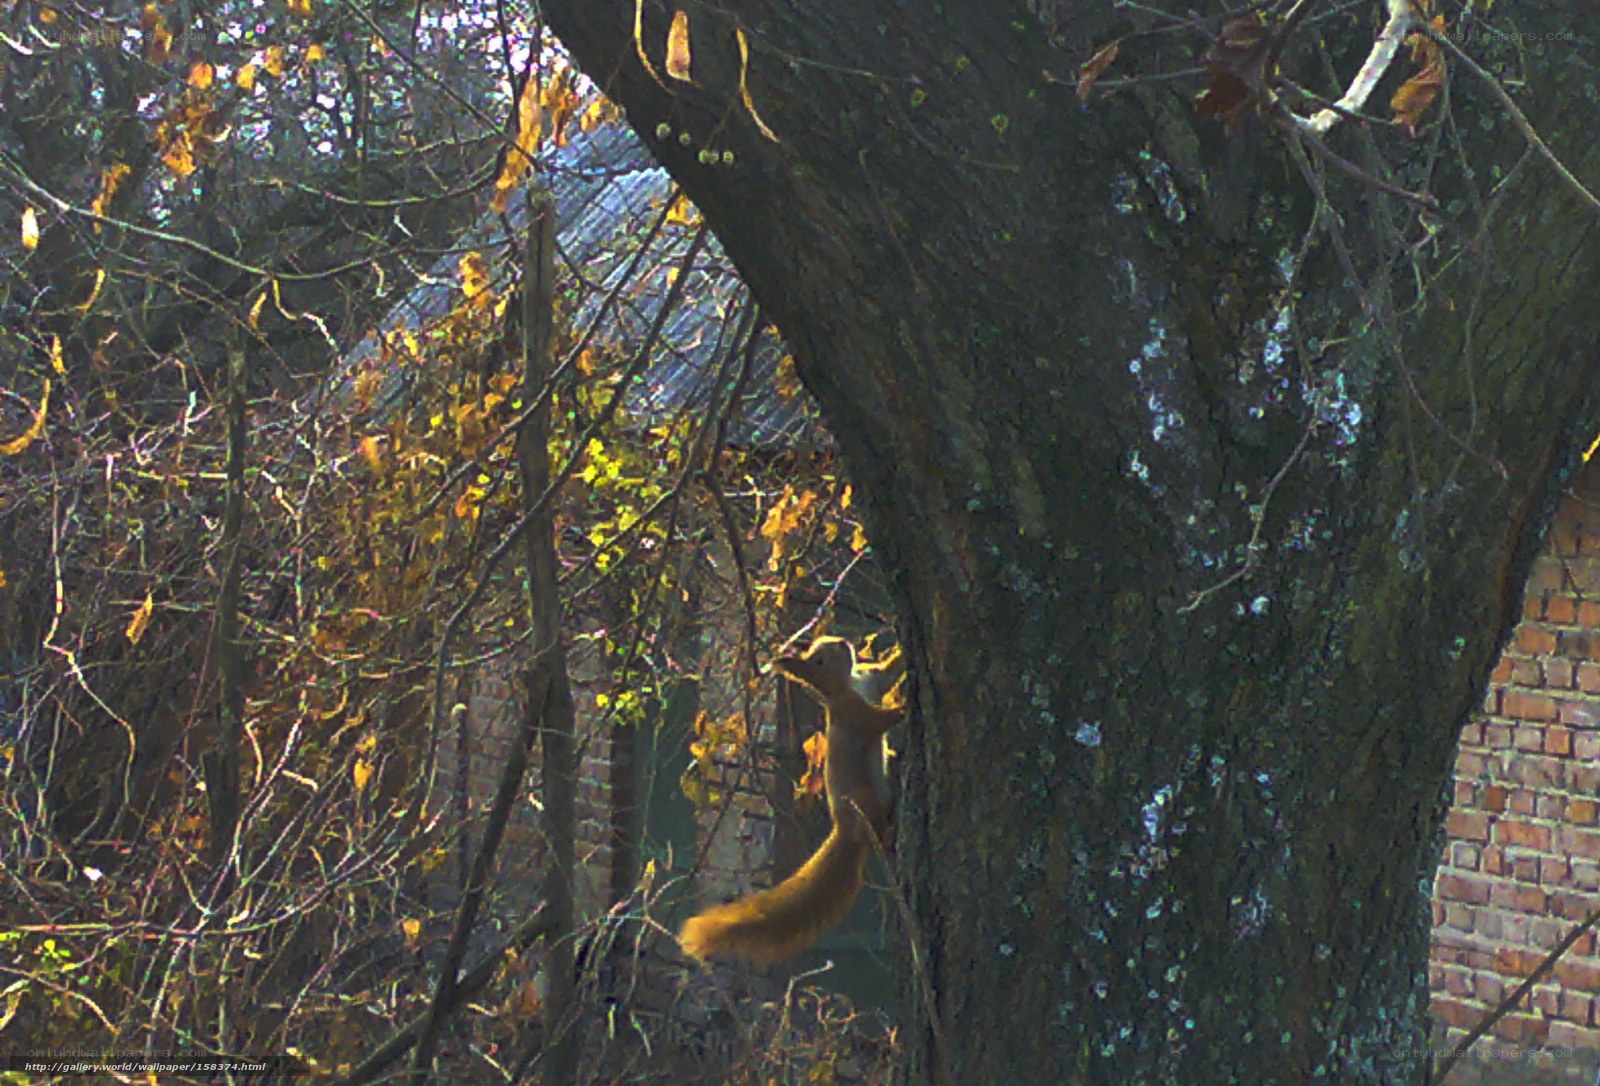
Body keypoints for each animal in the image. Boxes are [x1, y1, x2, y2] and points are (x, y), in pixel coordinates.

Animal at [678, 636, 904, 964]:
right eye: (820, 657)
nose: (844, 642)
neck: (847, 683)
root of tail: (845, 829)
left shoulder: (870, 680)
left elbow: (887, 672)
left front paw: (900, 654)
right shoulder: (852, 710)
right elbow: (877, 721)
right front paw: (903, 709)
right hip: (863, 798)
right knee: (876, 827)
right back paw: (887, 834)